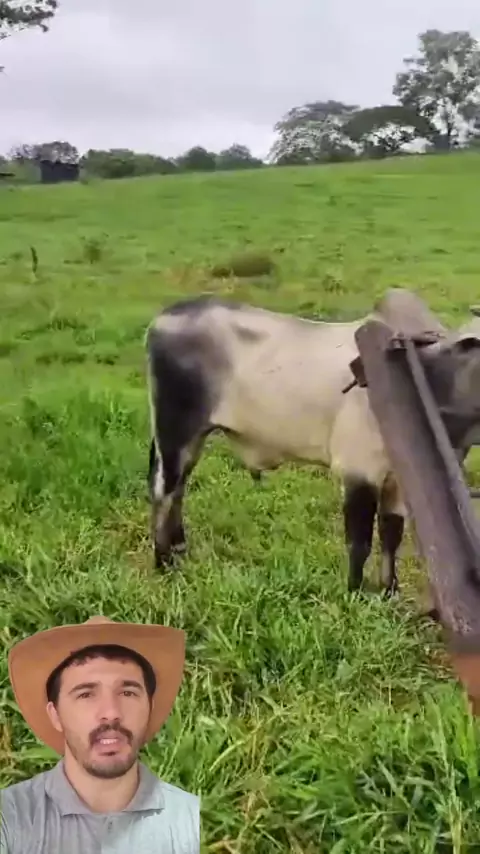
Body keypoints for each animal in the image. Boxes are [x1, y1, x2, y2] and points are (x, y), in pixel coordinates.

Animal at [145, 288, 480, 596]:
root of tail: (162, 318)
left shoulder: (398, 481)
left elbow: (391, 535)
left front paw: (389, 590)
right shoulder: (359, 470)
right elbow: (359, 541)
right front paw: (354, 592)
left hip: (192, 439)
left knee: (178, 489)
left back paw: (179, 552)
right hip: (175, 431)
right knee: (164, 490)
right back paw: (164, 564)